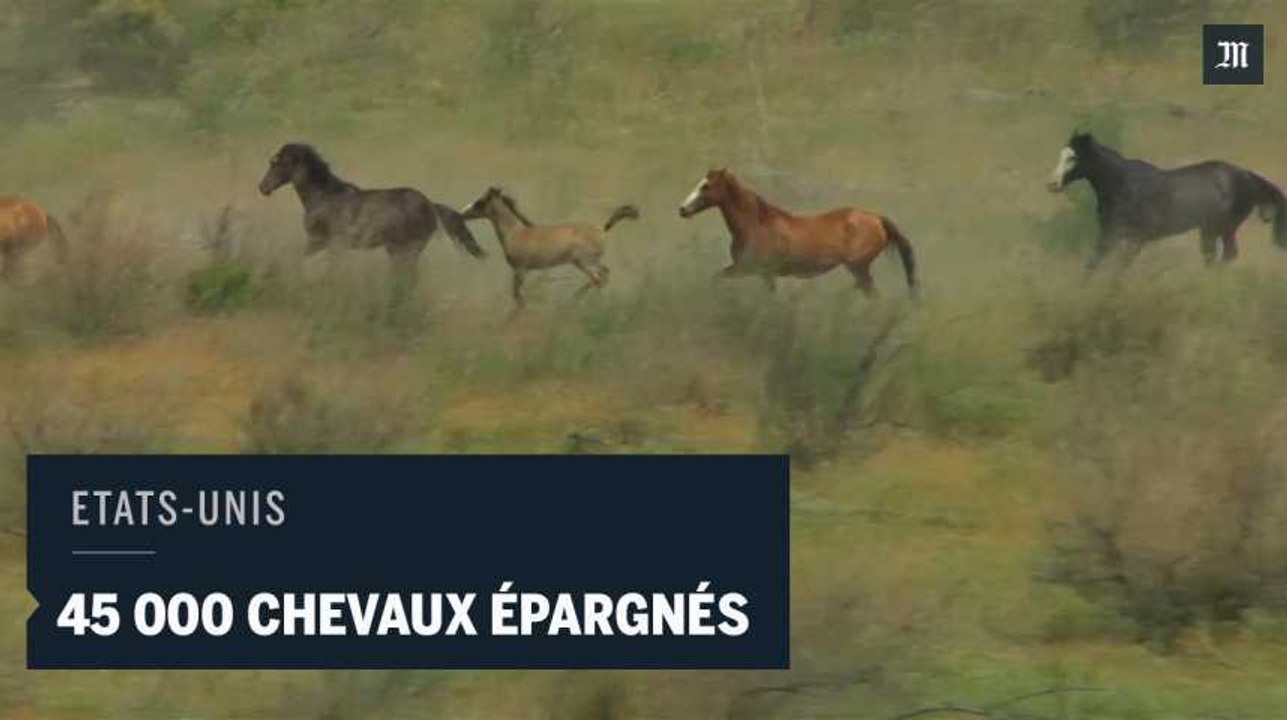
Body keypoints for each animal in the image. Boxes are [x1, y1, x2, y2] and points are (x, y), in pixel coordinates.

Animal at [257, 143, 485, 291]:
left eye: (277, 163)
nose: (263, 188)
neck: (324, 196)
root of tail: (430, 205)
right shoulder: (323, 243)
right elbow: (297, 258)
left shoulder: (323, 242)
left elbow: (312, 263)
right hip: (397, 250)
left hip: (407, 250)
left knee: (409, 278)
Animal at [459, 186, 639, 310]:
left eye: (480, 201)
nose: (462, 213)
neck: (514, 232)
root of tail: (602, 228)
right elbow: (517, 296)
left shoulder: (520, 270)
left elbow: (517, 296)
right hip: (588, 262)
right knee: (604, 274)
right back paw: (578, 298)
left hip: (584, 263)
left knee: (598, 278)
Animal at [677, 168, 917, 295]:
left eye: (706, 186)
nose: (682, 209)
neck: (756, 224)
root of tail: (877, 218)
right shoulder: (750, 270)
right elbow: (716, 277)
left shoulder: (756, 270)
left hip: (858, 267)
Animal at [1048, 131, 1287, 270]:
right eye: (1061, 155)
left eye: (1072, 158)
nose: (1052, 184)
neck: (1122, 185)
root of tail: (1246, 175)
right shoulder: (1108, 234)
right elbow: (1093, 265)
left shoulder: (1136, 238)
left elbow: (1119, 268)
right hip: (1210, 230)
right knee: (1217, 258)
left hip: (1221, 228)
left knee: (1226, 256)